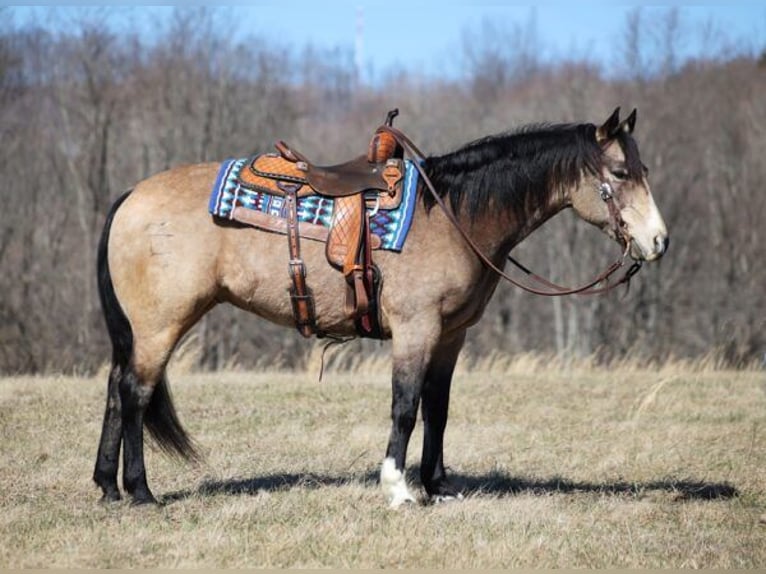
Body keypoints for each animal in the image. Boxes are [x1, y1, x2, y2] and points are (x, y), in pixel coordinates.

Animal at [94, 107, 672, 508]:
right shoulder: (417, 329)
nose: (659, 241)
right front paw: (398, 488)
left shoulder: (451, 335)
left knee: (116, 389)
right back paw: (140, 491)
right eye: (621, 173)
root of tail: (131, 196)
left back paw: (107, 487)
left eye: (643, 167)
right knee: (135, 392)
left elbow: (438, 408)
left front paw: (437, 485)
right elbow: (406, 406)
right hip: (160, 326)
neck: (454, 215)